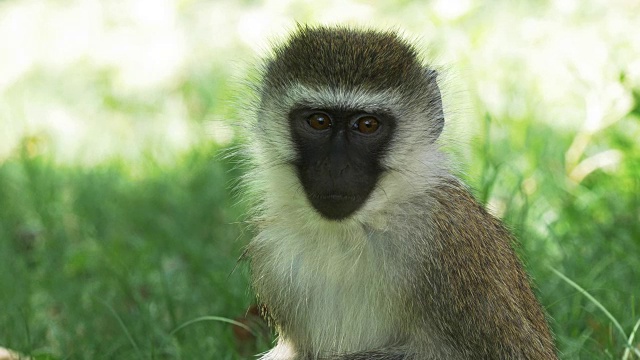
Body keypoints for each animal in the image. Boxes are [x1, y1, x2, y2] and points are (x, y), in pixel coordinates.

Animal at [240, 26, 556, 360]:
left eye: (367, 124)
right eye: (319, 121)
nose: (336, 167)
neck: (357, 228)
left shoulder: (450, 242)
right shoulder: (273, 253)